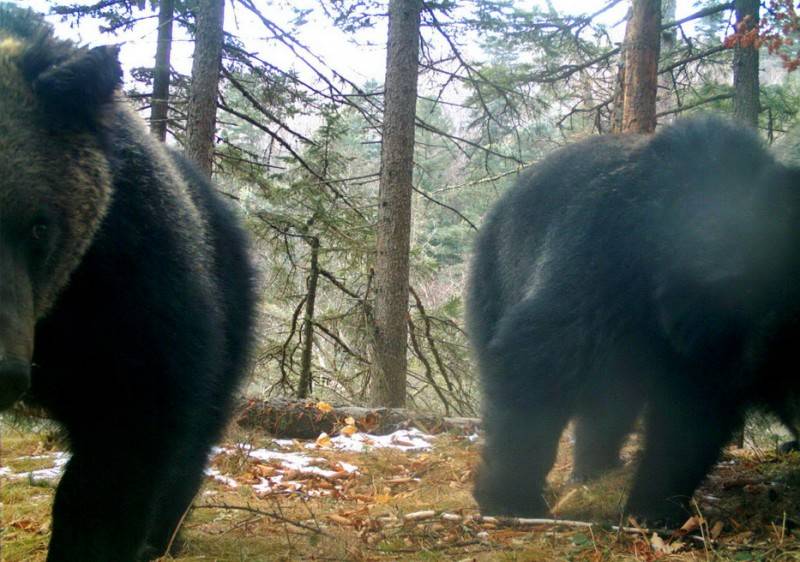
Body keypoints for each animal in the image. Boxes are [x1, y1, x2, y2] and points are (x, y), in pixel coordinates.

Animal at [472, 115, 800, 524]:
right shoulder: (605, 257)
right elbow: (539, 358)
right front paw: (509, 496)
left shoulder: (701, 350)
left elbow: (688, 418)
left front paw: (654, 508)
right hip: (497, 279)